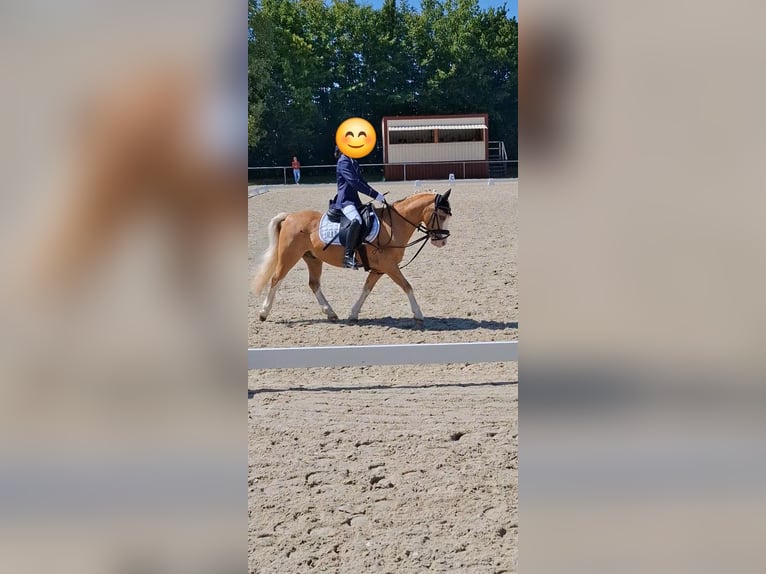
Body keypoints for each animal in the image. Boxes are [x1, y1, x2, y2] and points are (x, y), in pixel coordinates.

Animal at [252, 190, 452, 326]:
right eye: (441, 215)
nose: (442, 241)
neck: (393, 225)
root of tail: (290, 216)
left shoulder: (379, 269)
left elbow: (366, 289)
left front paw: (353, 314)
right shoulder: (389, 266)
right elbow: (407, 286)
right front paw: (418, 313)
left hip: (313, 259)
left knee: (314, 284)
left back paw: (331, 313)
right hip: (289, 256)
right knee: (276, 279)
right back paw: (263, 313)